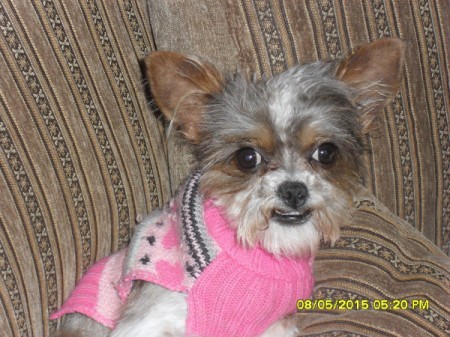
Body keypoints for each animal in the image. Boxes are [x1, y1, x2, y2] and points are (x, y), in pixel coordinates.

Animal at [51, 37, 404, 336]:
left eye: (326, 153)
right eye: (247, 157)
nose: (294, 190)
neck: (256, 255)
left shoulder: (274, 326)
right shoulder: (152, 319)